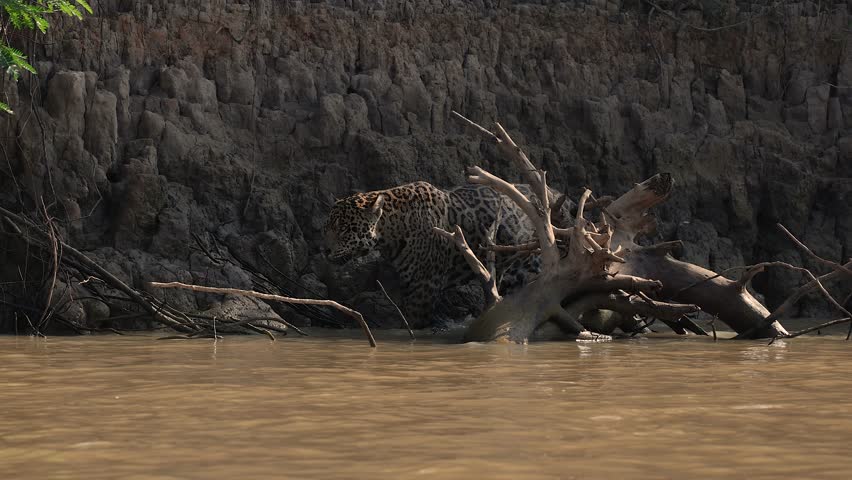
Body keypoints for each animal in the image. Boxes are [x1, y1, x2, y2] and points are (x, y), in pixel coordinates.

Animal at [323, 181, 574, 329]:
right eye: (328, 227)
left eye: (344, 229)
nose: (324, 250)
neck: (392, 231)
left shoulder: (423, 288)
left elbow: (412, 323)